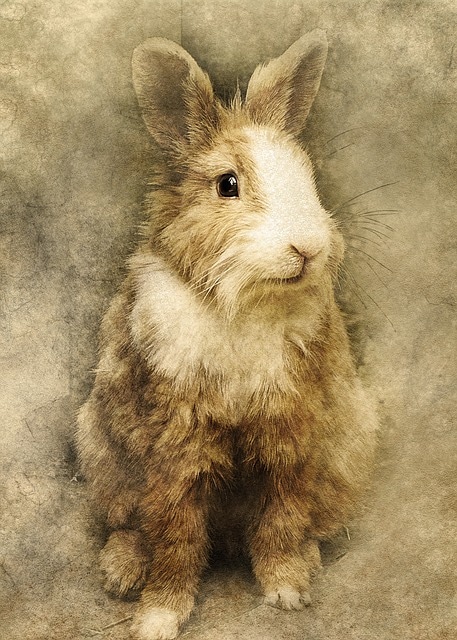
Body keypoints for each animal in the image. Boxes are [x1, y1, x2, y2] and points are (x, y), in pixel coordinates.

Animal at [76, 30, 378, 640]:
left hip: (347, 451)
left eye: (307, 177)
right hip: (103, 456)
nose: (308, 246)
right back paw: (121, 571)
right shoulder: (176, 440)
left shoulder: (291, 432)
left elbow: (283, 516)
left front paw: (287, 589)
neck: (243, 305)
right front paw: (159, 616)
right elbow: (176, 533)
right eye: (228, 185)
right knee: (130, 525)